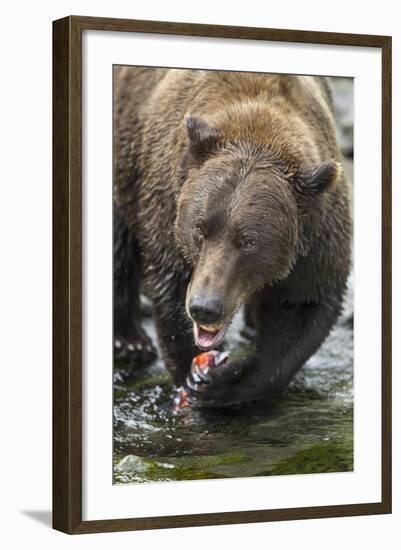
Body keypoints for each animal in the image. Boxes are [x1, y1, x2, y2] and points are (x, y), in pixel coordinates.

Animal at [112, 66, 350, 410]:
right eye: (200, 229)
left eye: (249, 241)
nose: (205, 307)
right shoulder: (167, 204)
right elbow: (171, 292)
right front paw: (192, 374)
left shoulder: (316, 238)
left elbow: (302, 305)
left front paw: (220, 383)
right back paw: (130, 341)